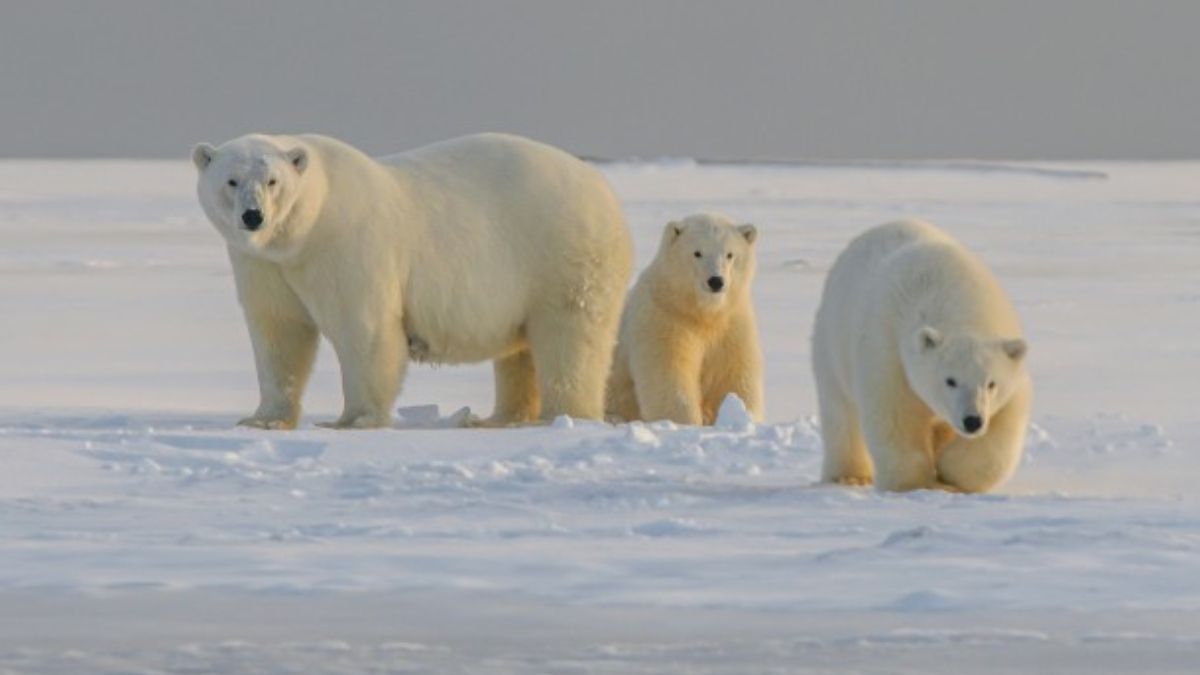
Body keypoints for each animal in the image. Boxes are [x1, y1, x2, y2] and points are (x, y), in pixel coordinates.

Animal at [192, 132, 633, 429]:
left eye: (273, 181)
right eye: (231, 181)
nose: (253, 216)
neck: (306, 230)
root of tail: (604, 189)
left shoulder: (348, 246)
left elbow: (364, 329)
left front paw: (354, 419)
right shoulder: (263, 264)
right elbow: (279, 332)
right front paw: (263, 419)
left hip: (561, 254)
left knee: (569, 338)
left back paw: (564, 415)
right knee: (520, 351)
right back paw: (498, 418)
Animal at [606, 213, 763, 425]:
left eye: (730, 254)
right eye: (697, 253)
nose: (716, 281)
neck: (702, 312)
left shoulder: (731, 324)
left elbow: (734, 376)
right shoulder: (665, 319)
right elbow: (669, 376)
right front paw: (687, 422)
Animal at [811, 219, 1031, 493]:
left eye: (991, 383)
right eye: (950, 380)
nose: (972, 421)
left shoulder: (1011, 373)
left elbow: (1002, 427)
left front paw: (950, 472)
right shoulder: (888, 354)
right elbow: (896, 418)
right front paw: (918, 482)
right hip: (832, 343)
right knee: (840, 413)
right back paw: (849, 476)